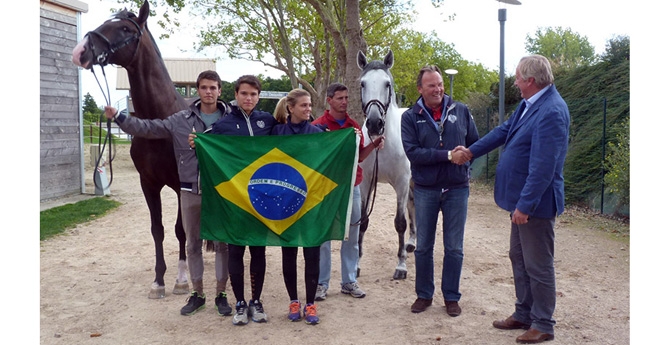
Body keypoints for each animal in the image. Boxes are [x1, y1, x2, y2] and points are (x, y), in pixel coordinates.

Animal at [73, 0, 189, 296]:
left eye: (125, 29)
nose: (80, 51)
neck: (160, 123)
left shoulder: (181, 185)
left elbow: (180, 229)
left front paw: (182, 280)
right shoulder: (148, 183)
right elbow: (157, 229)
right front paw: (158, 280)